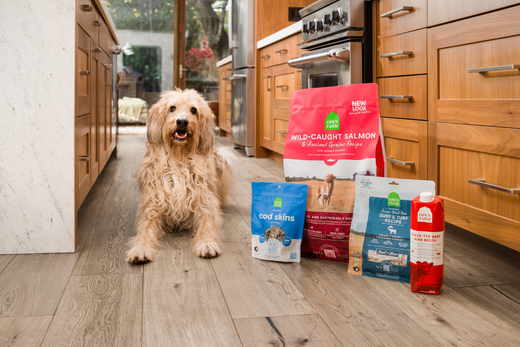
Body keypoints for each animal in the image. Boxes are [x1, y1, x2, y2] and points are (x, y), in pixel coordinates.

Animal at [126, 89, 230, 264]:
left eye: (193, 110)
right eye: (172, 108)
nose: (182, 122)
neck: (178, 158)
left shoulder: (205, 205)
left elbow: (207, 226)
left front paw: (206, 244)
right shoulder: (152, 207)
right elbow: (145, 231)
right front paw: (140, 249)